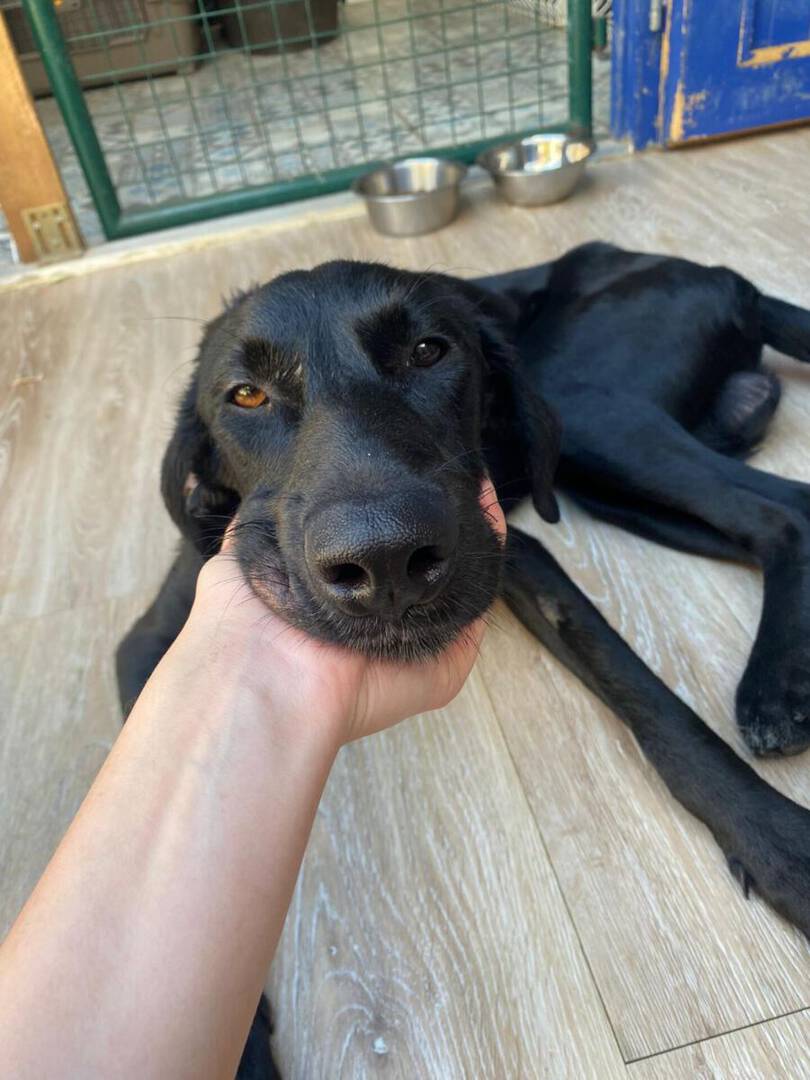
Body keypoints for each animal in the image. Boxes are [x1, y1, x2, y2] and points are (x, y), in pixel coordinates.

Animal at [117, 245, 810, 1077]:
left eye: (429, 351)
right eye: (246, 395)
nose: (384, 560)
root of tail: (710, 269)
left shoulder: (515, 551)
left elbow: (654, 705)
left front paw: (781, 845)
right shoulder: (155, 642)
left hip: (587, 410)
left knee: (786, 509)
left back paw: (774, 689)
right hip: (602, 472)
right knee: (775, 518)